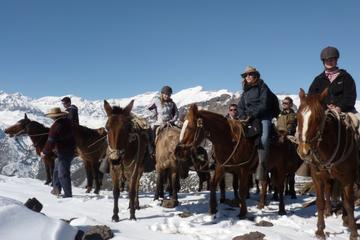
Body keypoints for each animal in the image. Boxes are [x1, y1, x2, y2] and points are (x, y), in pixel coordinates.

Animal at [290, 89, 360, 239]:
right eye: (298, 117)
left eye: (317, 118)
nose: (304, 151)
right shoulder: (317, 177)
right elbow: (320, 202)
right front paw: (320, 231)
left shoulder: (348, 178)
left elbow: (349, 203)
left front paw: (353, 232)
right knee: (329, 190)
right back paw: (329, 212)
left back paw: (345, 219)